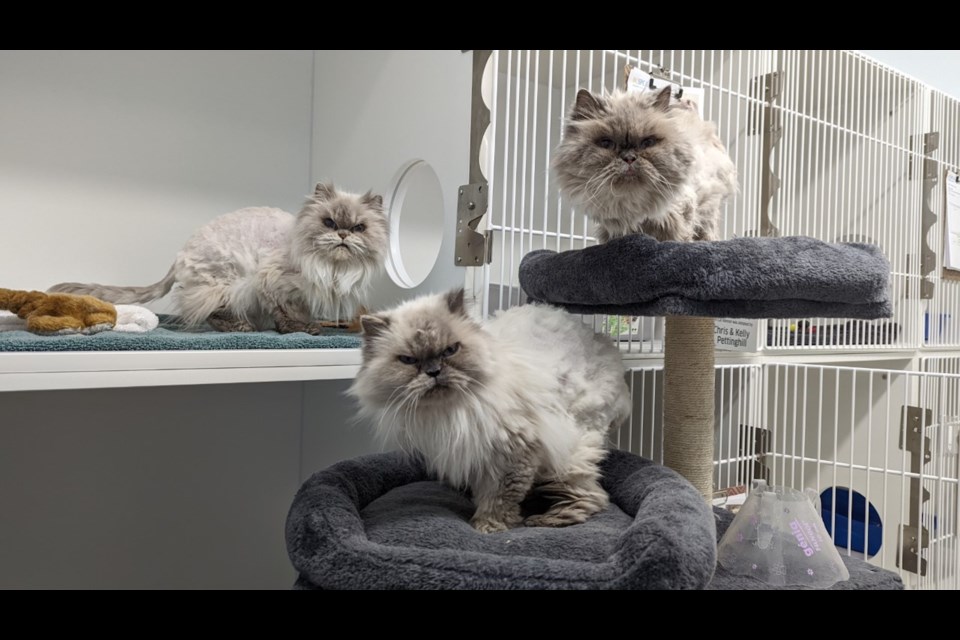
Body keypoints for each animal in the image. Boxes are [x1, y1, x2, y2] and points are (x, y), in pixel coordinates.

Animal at [50, 182, 388, 332]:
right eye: (329, 223)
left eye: (358, 228)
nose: (343, 236)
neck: (332, 268)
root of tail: (179, 255)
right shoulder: (270, 281)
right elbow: (284, 314)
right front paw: (298, 330)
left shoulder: (304, 294)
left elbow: (300, 312)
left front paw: (307, 325)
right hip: (230, 282)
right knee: (206, 312)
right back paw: (241, 328)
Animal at [348, 288, 632, 532]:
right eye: (408, 360)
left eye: (450, 350)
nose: (434, 372)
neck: (452, 411)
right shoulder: (473, 453)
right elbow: (483, 491)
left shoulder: (512, 453)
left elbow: (500, 496)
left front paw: (488, 526)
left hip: (571, 449)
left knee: (593, 497)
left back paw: (544, 520)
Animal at [552, 87, 740, 242]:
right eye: (606, 143)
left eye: (647, 143)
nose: (629, 158)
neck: (633, 206)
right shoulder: (612, 229)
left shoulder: (679, 217)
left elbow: (677, 239)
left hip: (709, 207)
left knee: (707, 232)